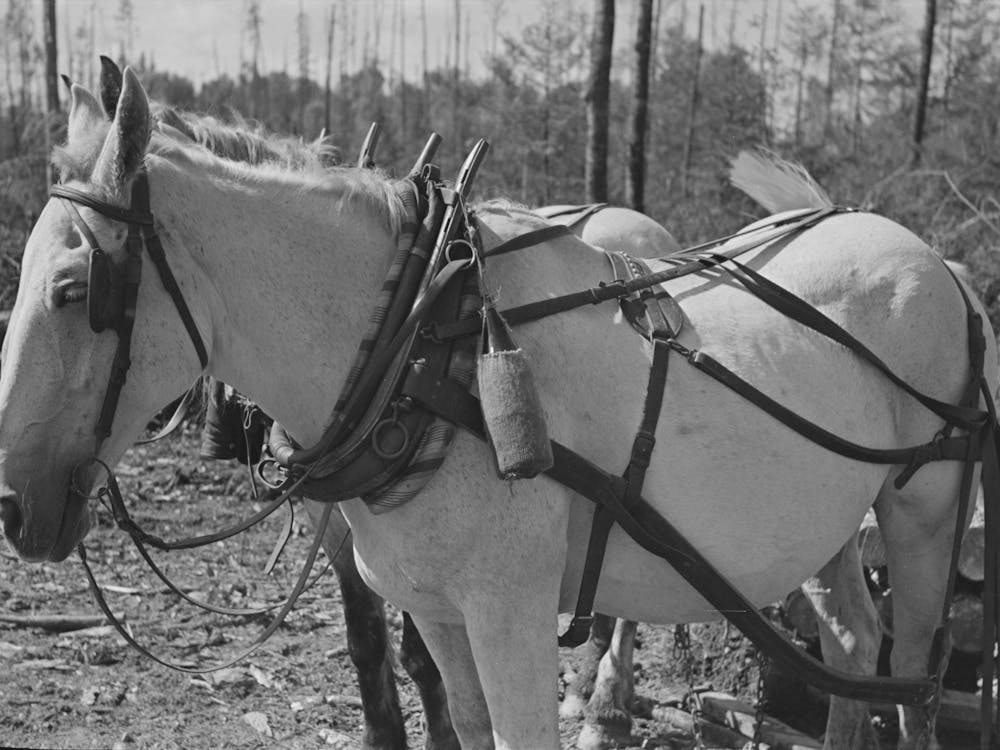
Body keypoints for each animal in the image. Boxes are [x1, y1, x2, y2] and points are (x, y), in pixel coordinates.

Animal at [2, 67, 995, 750]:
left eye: (73, 288)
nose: (13, 508)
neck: (419, 343)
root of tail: (937, 261)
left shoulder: (507, 610)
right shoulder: (440, 612)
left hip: (925, 506)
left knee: (913, 678)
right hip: (823, 526)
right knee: (854, 649)